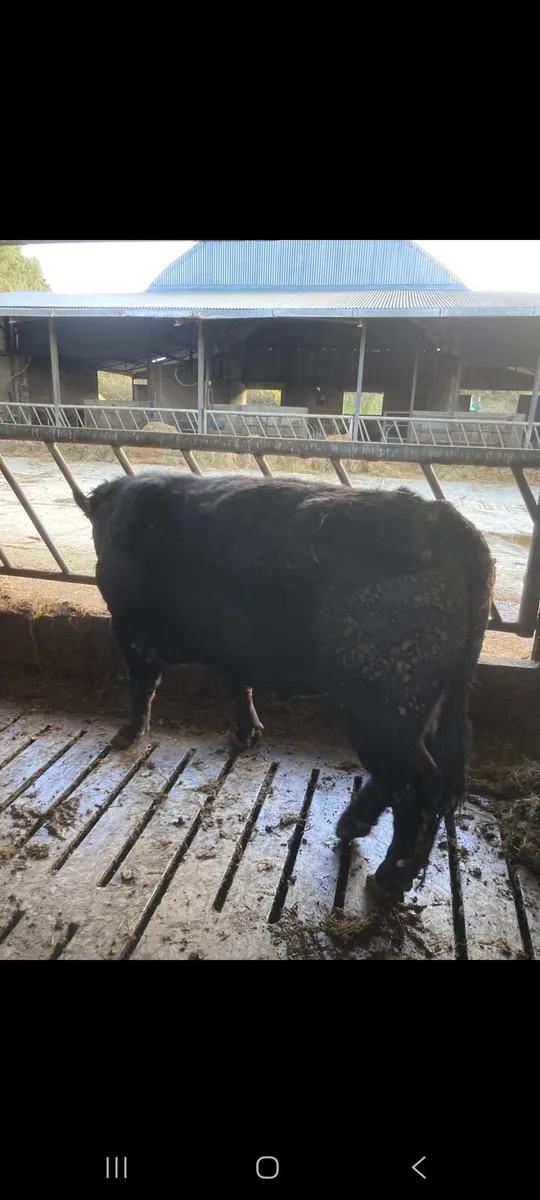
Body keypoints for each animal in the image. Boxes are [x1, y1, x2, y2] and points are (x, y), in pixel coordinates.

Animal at [72, 472, 495, 902]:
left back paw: (388, 875)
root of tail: (442, 519)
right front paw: (247, 733)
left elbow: (143, 685)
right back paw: (354, 828)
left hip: (379, 702)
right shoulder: (230, 649)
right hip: (438, 703)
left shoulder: (131, 631)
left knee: (415, 782)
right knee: (433, 777)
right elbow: (237, 686)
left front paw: (127, 734)